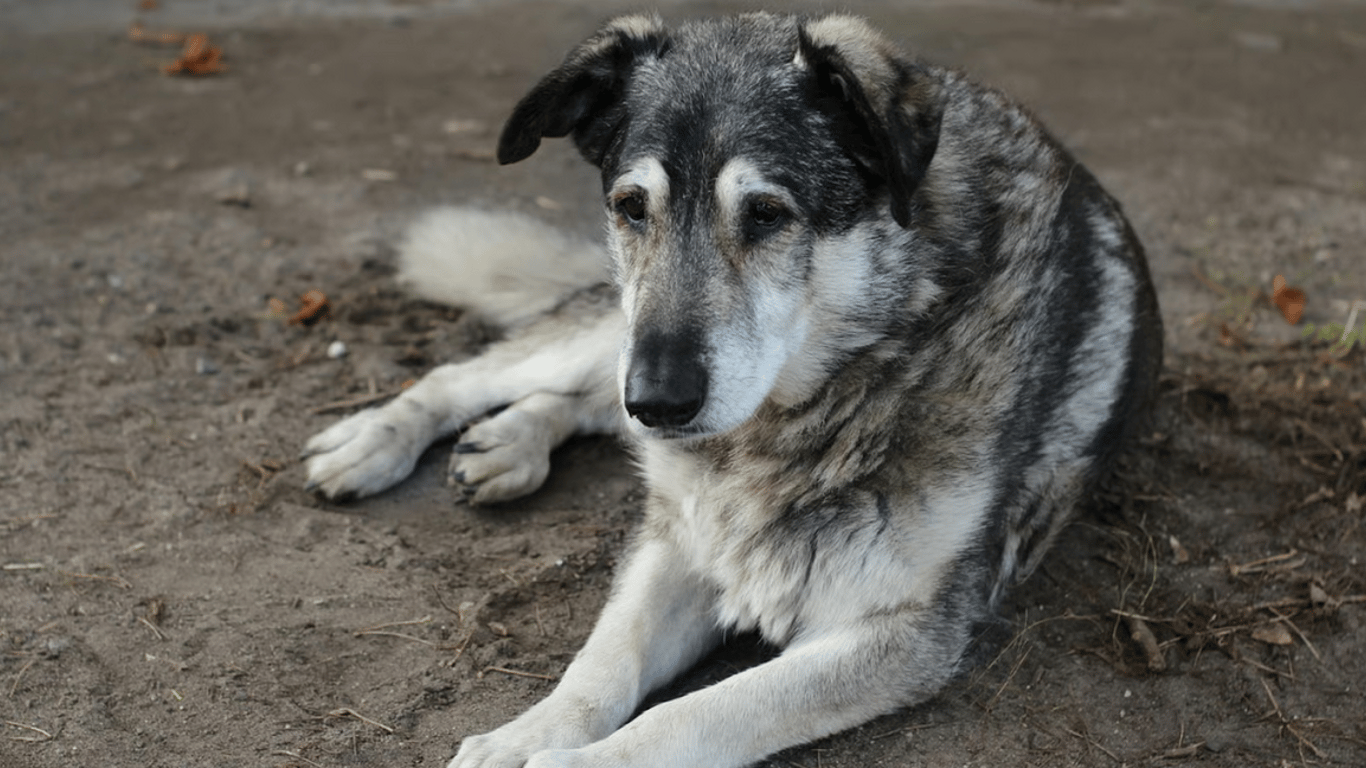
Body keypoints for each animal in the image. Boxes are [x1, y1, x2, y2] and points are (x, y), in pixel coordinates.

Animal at [301, 11, 1163, 765]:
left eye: (767, 213)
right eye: (631, 206)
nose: (660, 401)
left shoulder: (905, 631)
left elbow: (692, 715)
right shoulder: (679, 541)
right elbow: (601, 666)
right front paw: (525, 736)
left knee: (583, 404)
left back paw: (510, 444)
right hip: (615, 334)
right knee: (479, 375)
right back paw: (377, 443)